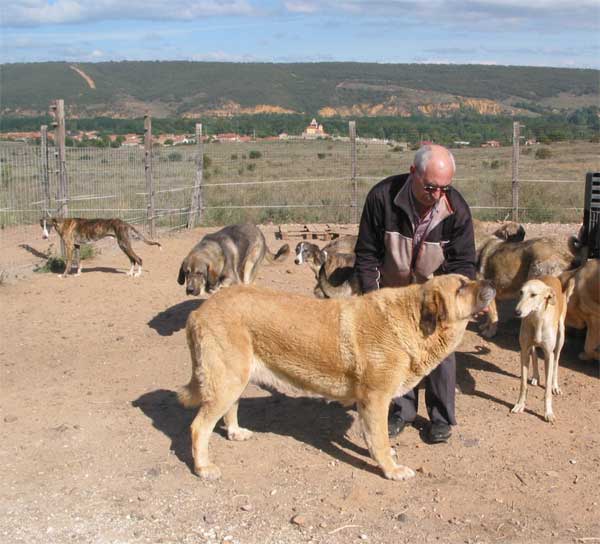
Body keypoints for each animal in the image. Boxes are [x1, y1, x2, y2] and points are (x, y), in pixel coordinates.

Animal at [179, 276, 496, 480]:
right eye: (462, 286)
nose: (492, 284)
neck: (413, 321)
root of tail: (198, 311)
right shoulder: (375, 400)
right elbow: (379, 441)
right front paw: (391, 470)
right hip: (227, 380)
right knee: (197, 427)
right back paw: (203, 468)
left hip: (235, 378)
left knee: (228, 409)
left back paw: (235, 432)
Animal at [512, 276, 576, 420]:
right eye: (520, 292)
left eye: (533, 295)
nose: (517, 312)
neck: (537, 319)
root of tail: (552, 277)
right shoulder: (524, 351)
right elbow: (523, 384)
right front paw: (520, 405)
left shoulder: (548, 354)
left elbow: (547, 391)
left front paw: (548, 412)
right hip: (531, 346)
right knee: (535, 354)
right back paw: (536, 376)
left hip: (560, 337)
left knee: (556, 362)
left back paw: (555, 386)